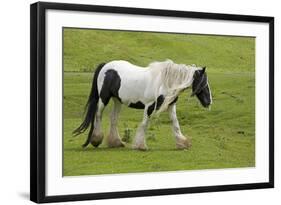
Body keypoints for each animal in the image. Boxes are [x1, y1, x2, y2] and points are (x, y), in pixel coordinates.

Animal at [73, 59, 211, 151]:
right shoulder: (149, 106)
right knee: (98, 115)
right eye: (203, 83)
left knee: (113, 118)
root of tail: (105, 66)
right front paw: (140, 146)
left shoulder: (171, 106)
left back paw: (116, 142)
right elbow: (144, 124)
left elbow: (175, 124)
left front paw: (182, 143)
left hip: (117, 100)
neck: (164, 82)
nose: (209, 102)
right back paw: (96, 140)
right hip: (104, 99)